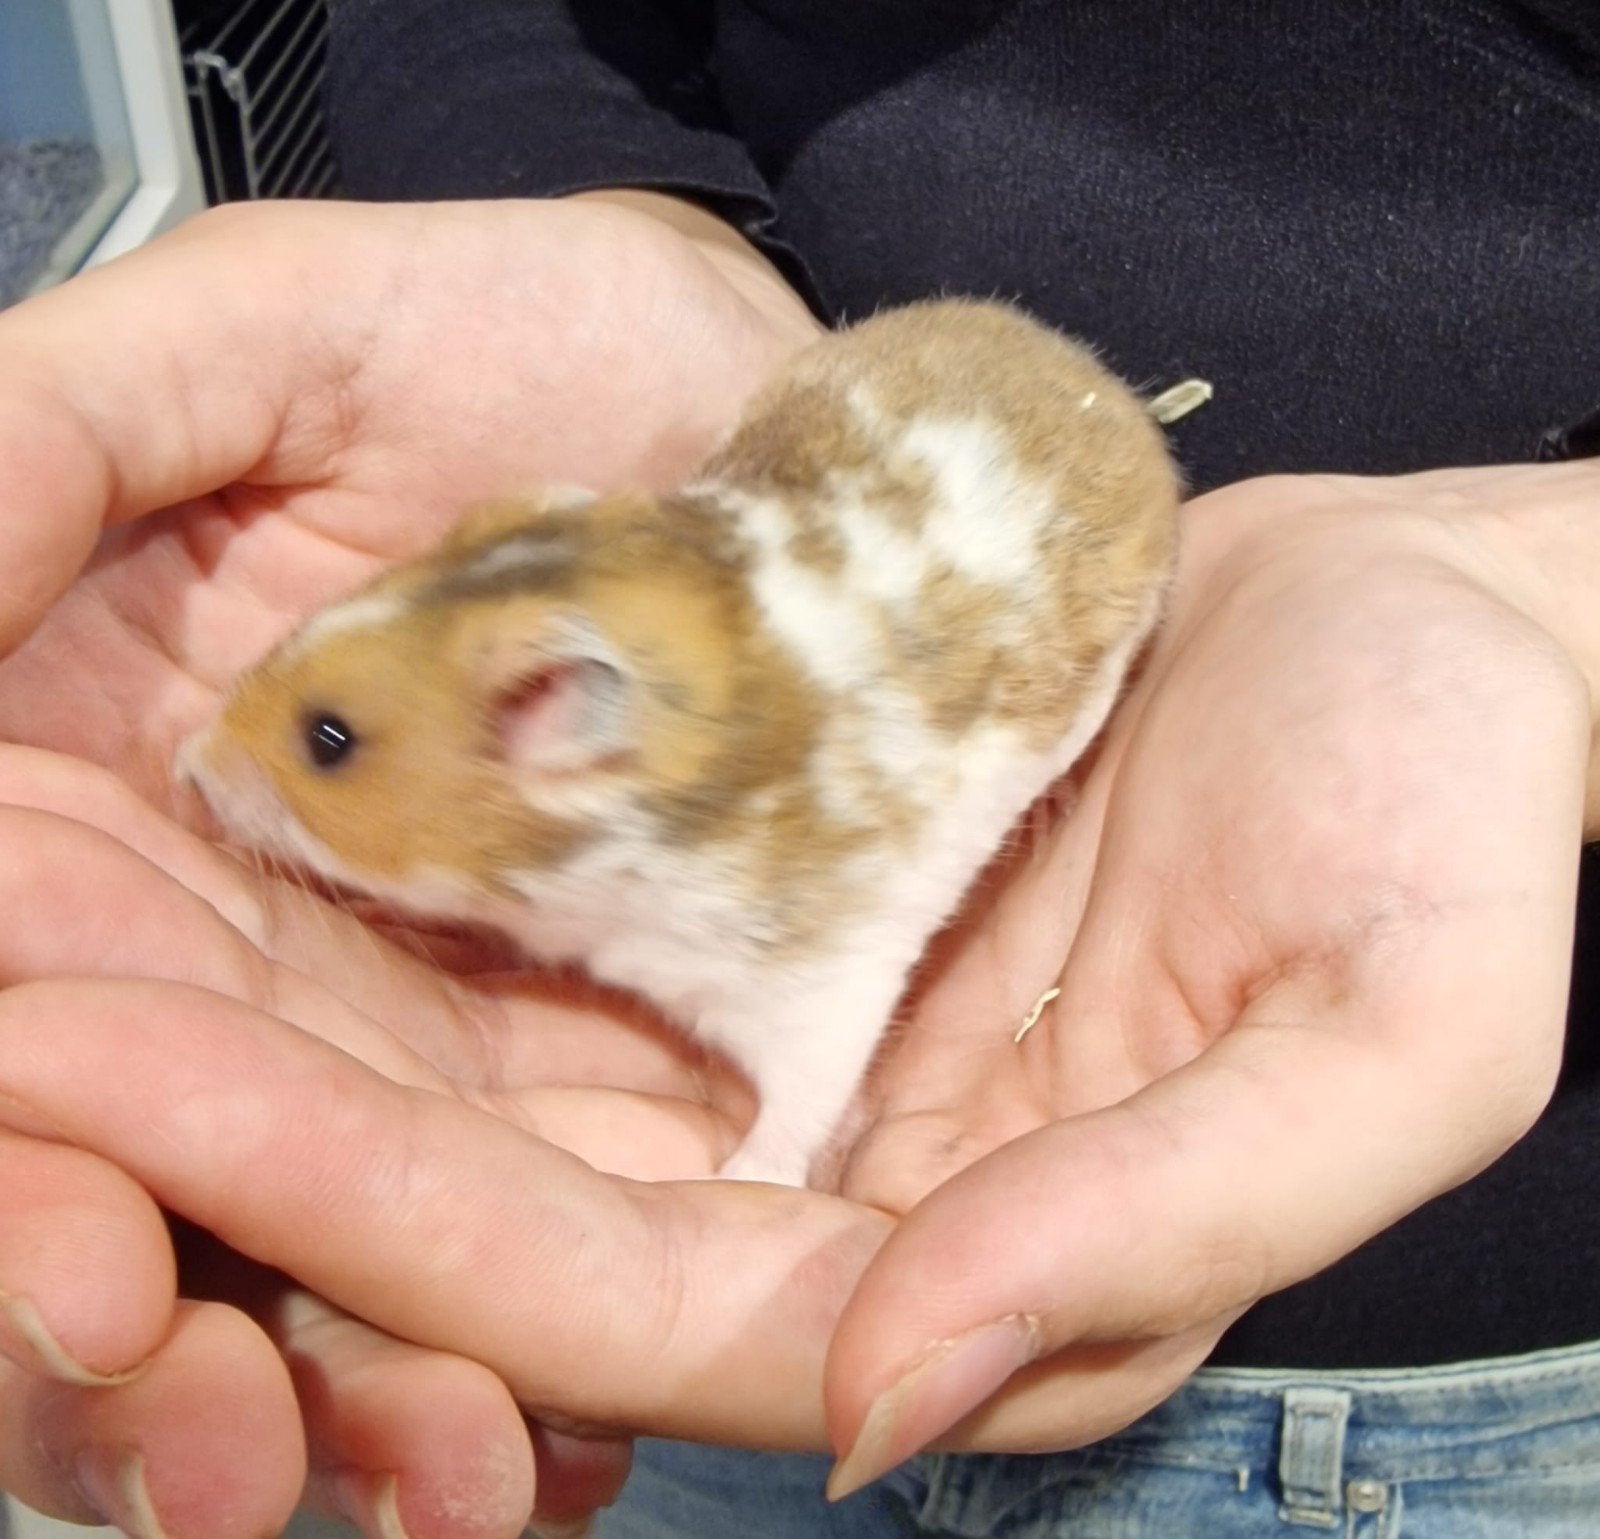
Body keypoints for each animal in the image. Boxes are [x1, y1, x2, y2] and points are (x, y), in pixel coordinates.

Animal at [177, 299, 1180, 1187]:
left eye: (329, 739)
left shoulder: (822, 988)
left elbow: (806, 1104)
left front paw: (746, 1179)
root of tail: (1110, 390)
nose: (188, 767)